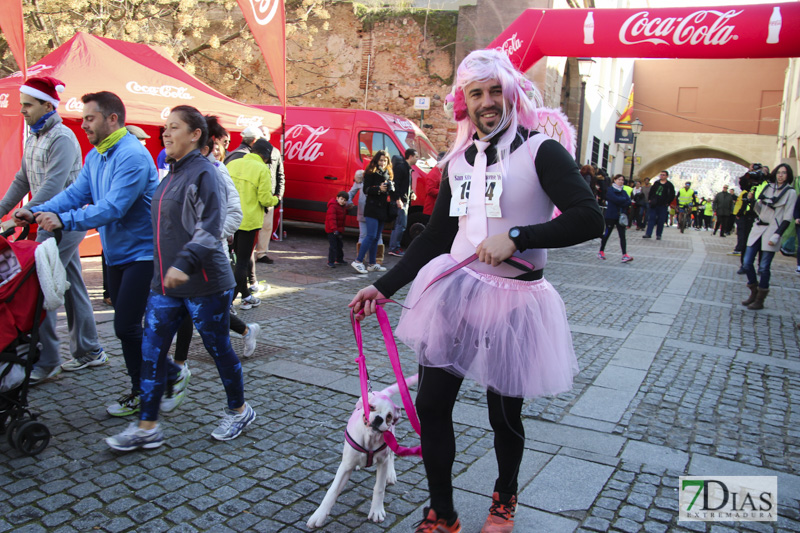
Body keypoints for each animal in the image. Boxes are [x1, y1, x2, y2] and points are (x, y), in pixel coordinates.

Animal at [304, 374, 418, 528]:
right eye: (371, 407)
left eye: (388, 416)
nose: (379, 418)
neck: (370, 439)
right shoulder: (345, 467)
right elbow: (332, 490)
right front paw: (319, 515)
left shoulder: (382, 462)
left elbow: (379, 488)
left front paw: (376, 511)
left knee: (391, 455)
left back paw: (391, 473)